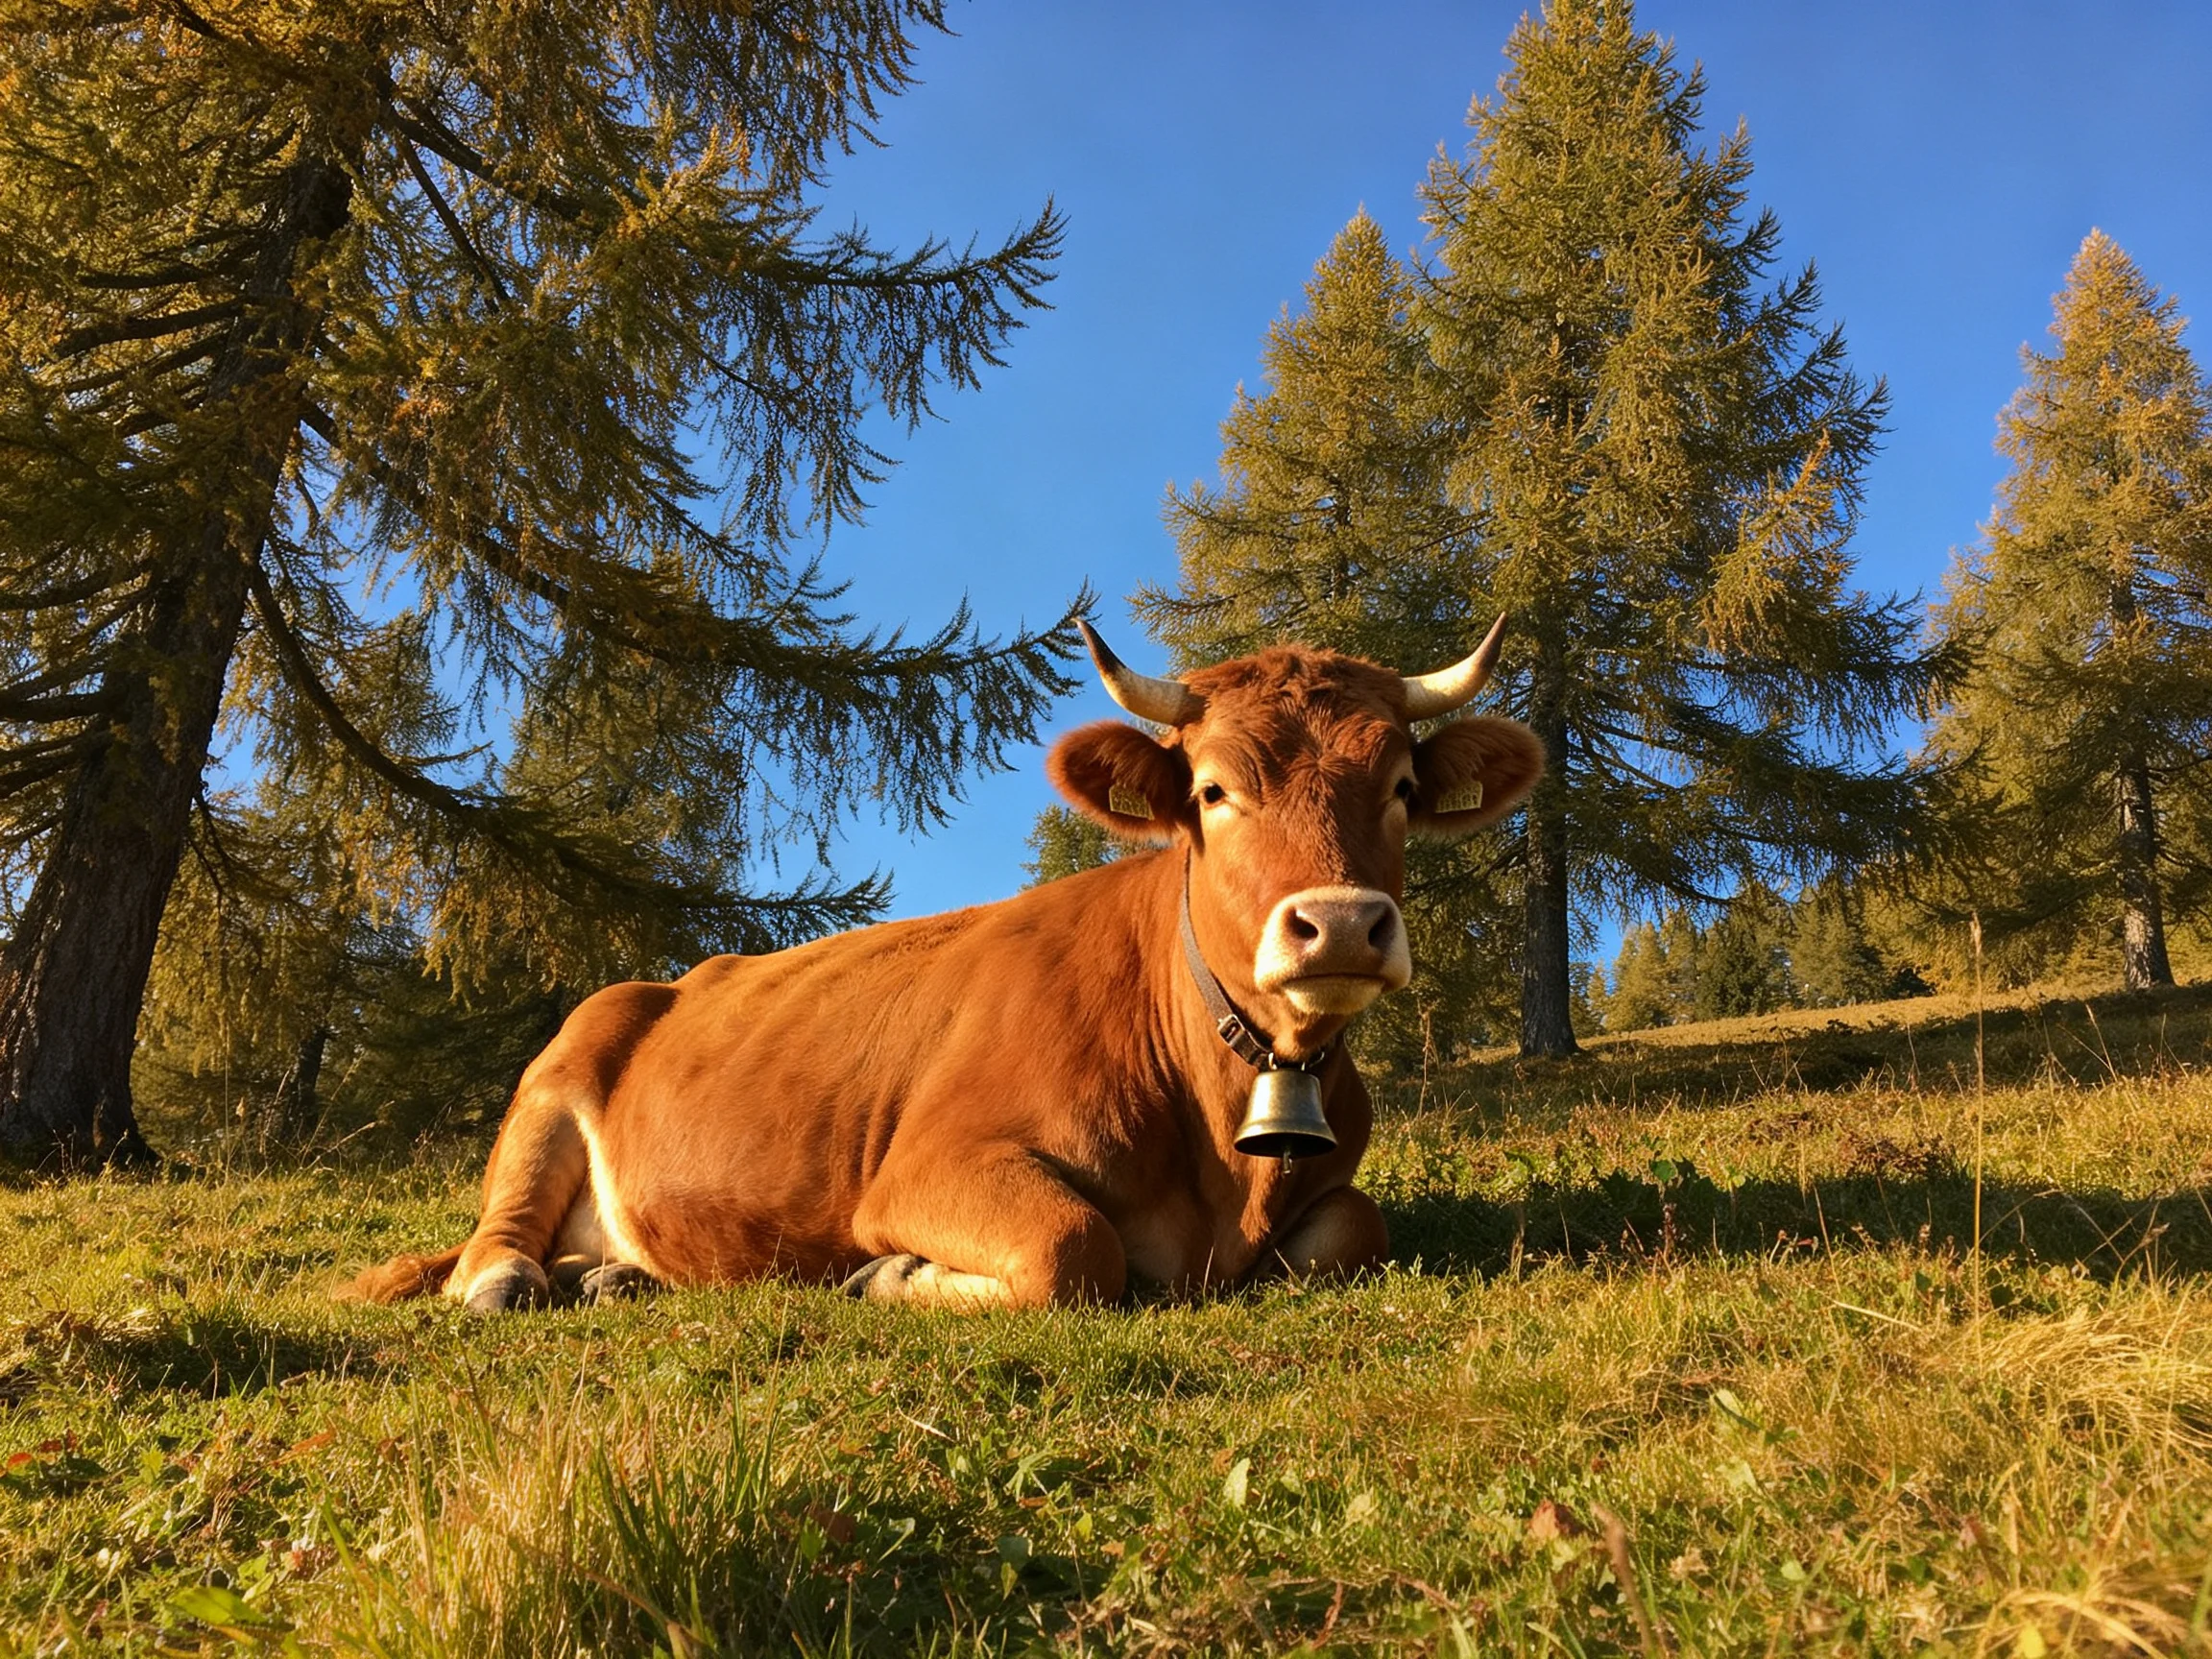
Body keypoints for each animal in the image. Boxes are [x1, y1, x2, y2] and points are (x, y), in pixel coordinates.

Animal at [351, 619, 1542, 1312]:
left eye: (1399, 786)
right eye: (1211, 790)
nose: (1338, 924)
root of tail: (672, 977)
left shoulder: (1332, 1198)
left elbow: (1360, 1229)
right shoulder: (926, 1167)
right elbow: (1073, 1250)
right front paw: (889, 1273)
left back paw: (602, 1275)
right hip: (553, 1081)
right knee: (492, 1245)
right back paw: (517, 1279)